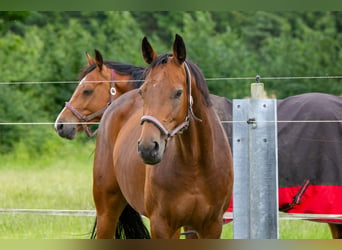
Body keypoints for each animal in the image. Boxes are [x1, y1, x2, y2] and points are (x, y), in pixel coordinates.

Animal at [92, 33, 234, 238]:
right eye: (143, 92)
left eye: (178, 92)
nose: (147, 148)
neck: (196, 163)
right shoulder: (162, 225)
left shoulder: (211, 226)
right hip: (107, 209)